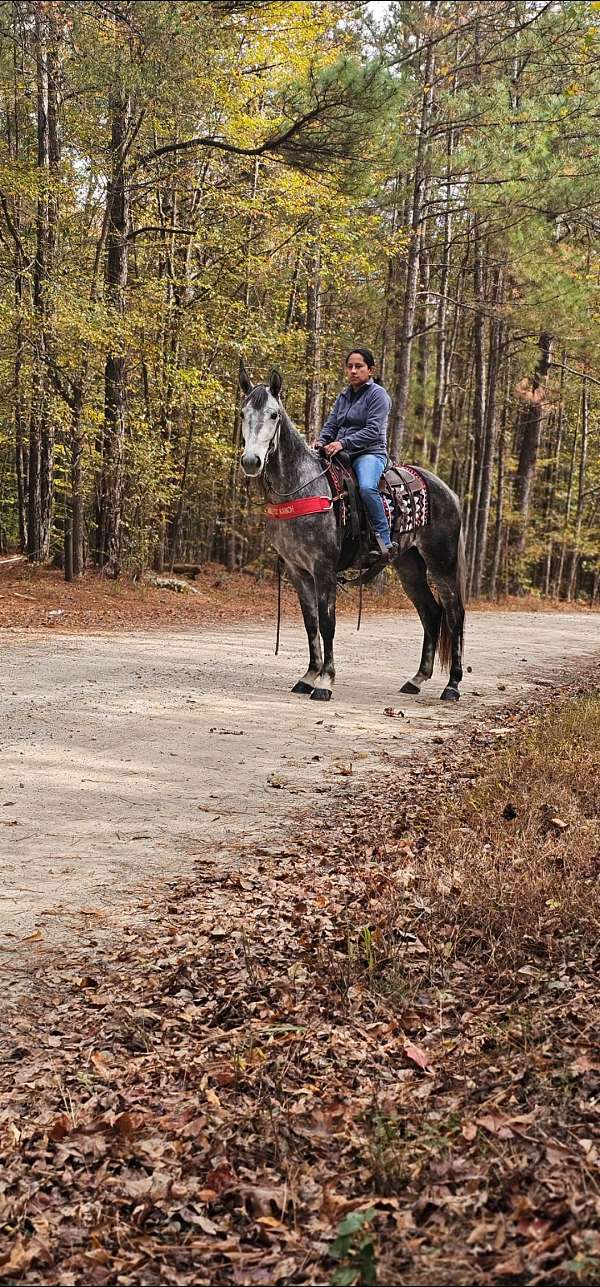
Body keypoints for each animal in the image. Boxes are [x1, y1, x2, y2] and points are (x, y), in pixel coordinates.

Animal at [239, 367, 466, 703]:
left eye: (274, 414)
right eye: (243, 413)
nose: (251, 461)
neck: (304, 485)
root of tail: (448, 491)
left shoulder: (324, 568)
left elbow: (327, 622)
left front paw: (325, 681)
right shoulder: (297, 570)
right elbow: (310, 622)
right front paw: (308, 676)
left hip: (442, 564)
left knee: (454, 614)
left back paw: (452, 686)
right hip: (409, 566)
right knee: (430, 612)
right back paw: (416, 680)